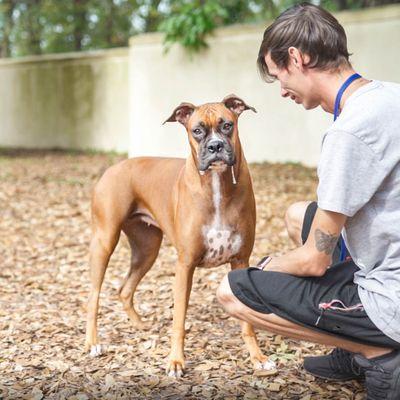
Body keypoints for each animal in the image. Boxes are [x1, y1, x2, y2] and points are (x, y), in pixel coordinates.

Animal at [85, 95, 276, 376]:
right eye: (197, 130)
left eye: (227, 125)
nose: (216, 146)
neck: (216, 185)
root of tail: (114, 167)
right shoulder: (185, 265)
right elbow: (179, 321)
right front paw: (175, 361)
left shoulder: (240, 260)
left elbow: (247, 323)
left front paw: (257, 357)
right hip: (104, 241)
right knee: (93, 296)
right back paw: (93, 342)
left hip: (147, 249)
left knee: (124, 289)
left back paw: (140, 326)